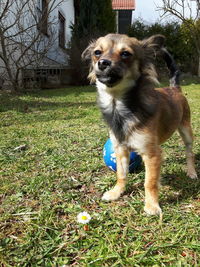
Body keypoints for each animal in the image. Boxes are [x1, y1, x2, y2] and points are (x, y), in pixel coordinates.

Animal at [81, 33, 197, 216]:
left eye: (125, 54)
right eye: (97, 52)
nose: (103, 62)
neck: (119, 106)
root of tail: (174, 88)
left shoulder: (151, 154)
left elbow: (149, 182)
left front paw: (151, 205)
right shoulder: (120, 149)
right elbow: (121, 174)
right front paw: (117, 192)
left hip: (186, 130)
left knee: (189, 153)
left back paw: (191, 171)